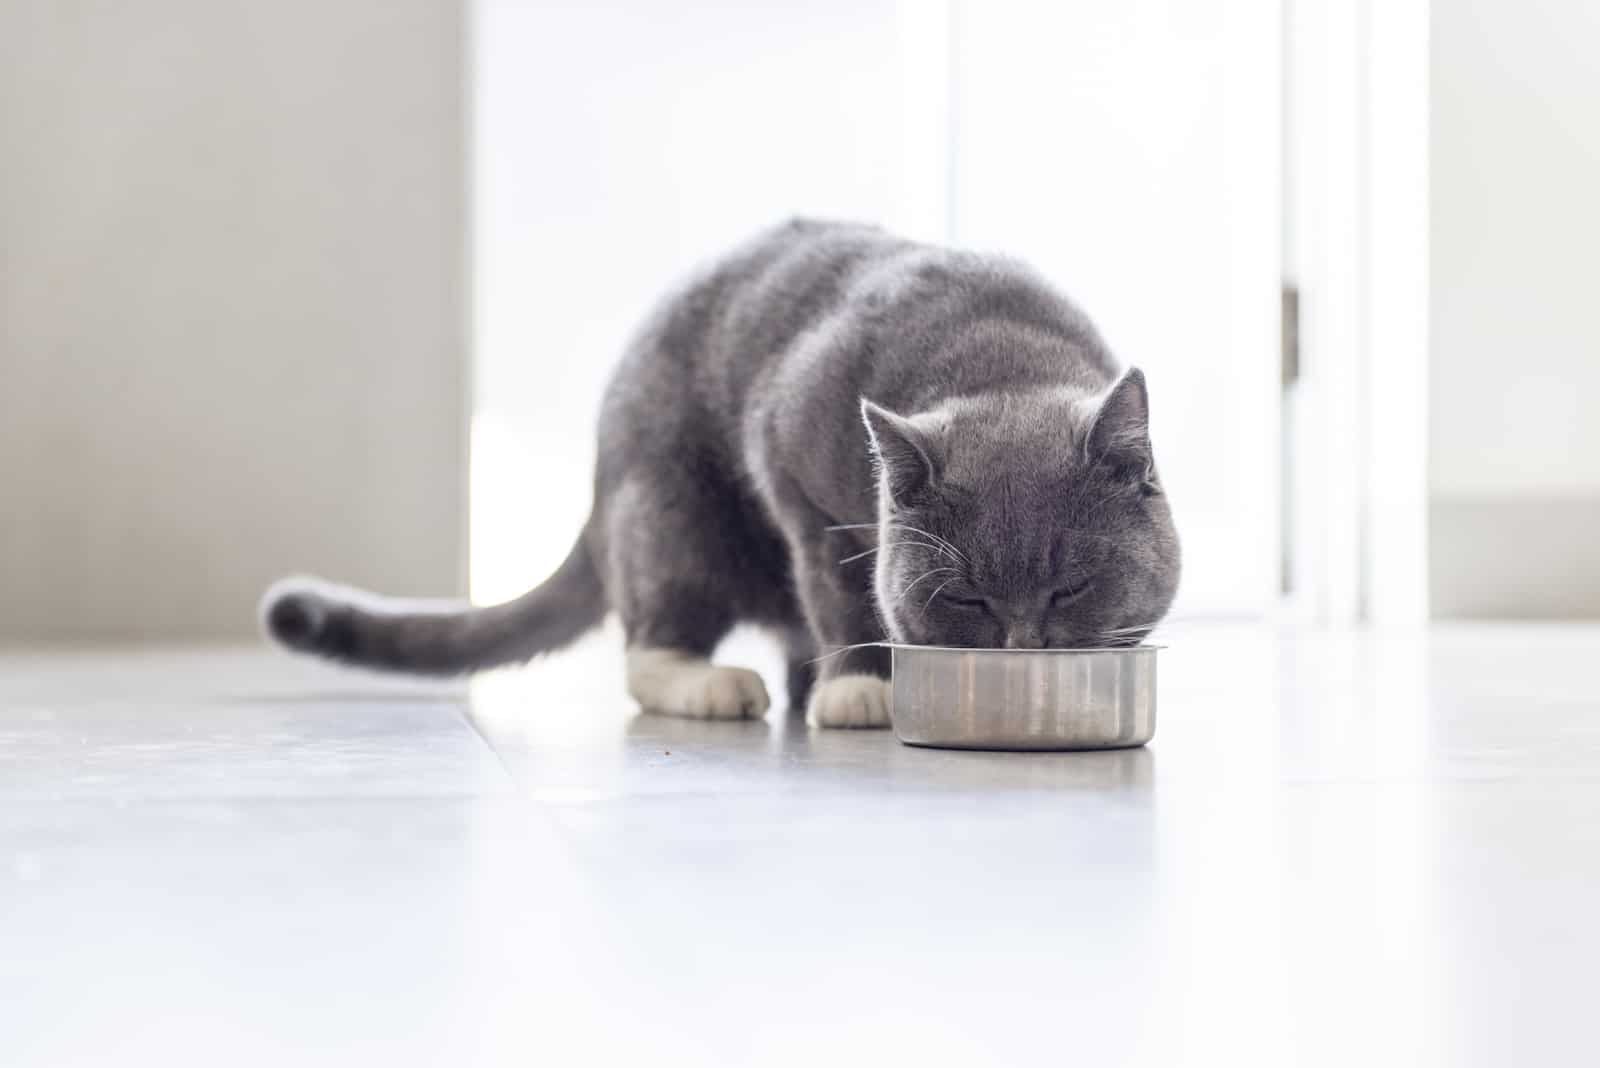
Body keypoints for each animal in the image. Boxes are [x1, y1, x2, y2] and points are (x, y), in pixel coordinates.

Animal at [262, 220, 1184, 729]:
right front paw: (861, 687)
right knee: (651, 640)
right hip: (671, 509)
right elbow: (840, 590)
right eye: (966, 600)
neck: (1000, 358)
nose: (1024, 649)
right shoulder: (795, 473)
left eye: (1071, 587)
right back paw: (717, 684)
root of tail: (597, 491)